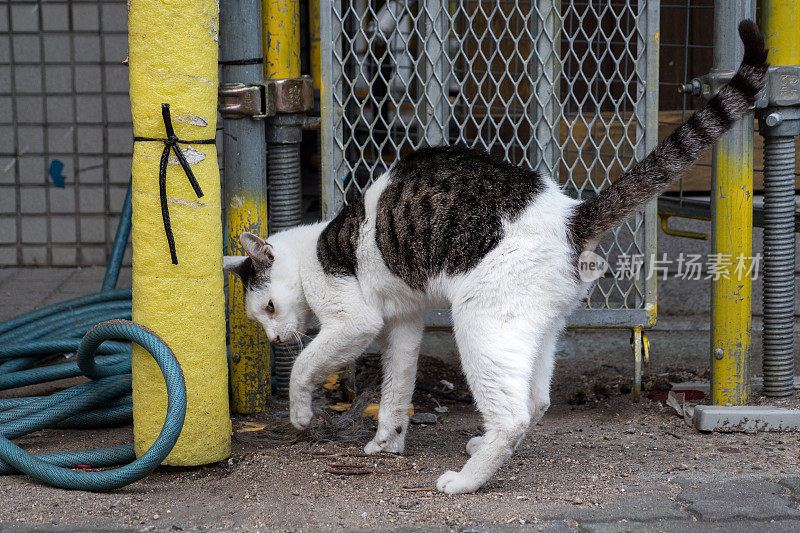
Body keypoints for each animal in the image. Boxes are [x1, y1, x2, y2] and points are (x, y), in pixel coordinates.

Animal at [225, 20, 768, 494]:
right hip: (535, 327)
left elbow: (305, 366)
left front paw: (300, 414)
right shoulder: (403, 323)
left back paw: (466, 481)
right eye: (260, 319)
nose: (274, 337)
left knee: (513, 415)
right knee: (536, 401)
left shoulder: (354, 321)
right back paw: (481, 446)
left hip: (479, 321)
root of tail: (569, 216)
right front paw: (387, 442)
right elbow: (396, 390)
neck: (312, 249)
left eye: (269, 307)